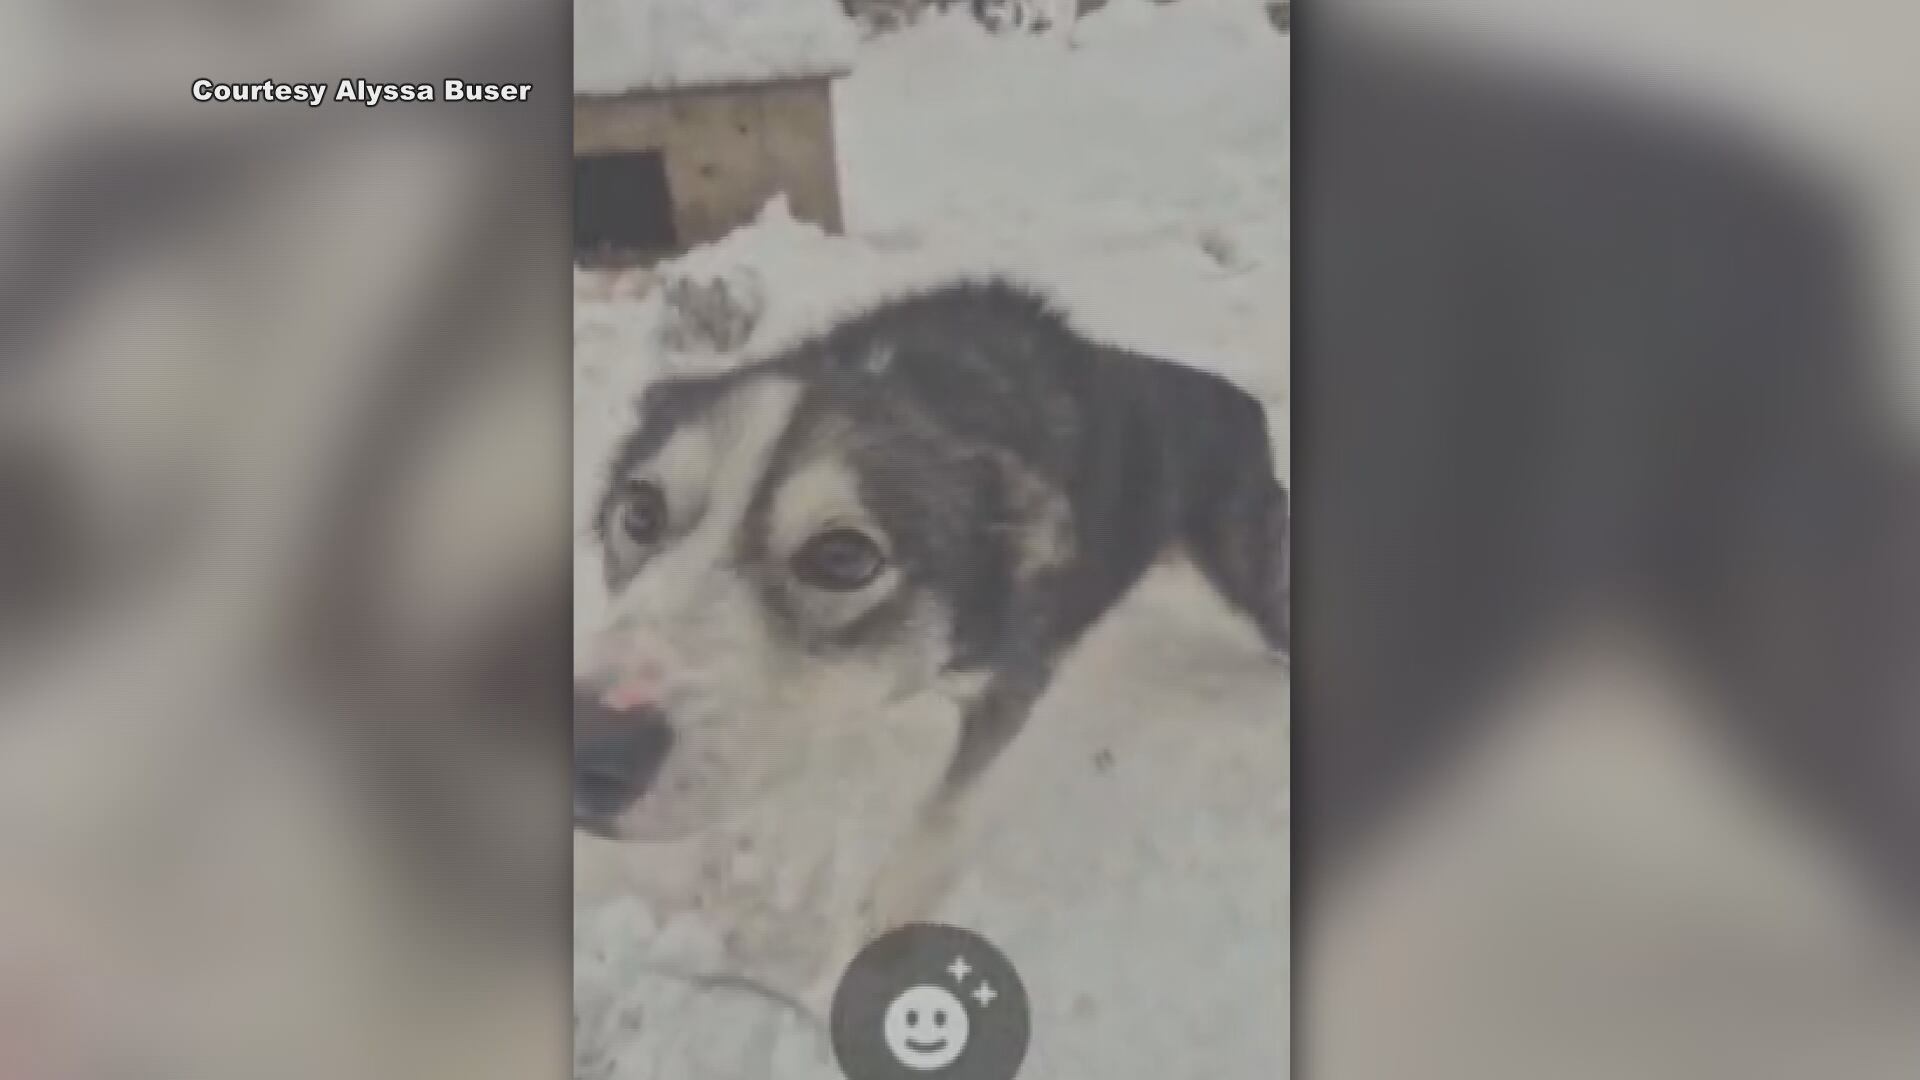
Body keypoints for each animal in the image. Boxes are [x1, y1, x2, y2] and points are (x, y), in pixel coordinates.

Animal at [573, 279, 1286, 1007]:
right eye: (640, 512)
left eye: (843, 557)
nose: (593, 746)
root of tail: (1245, 405)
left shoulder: (1007, 684)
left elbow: (941, 806)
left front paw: (887, 912)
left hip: (1255, 583)